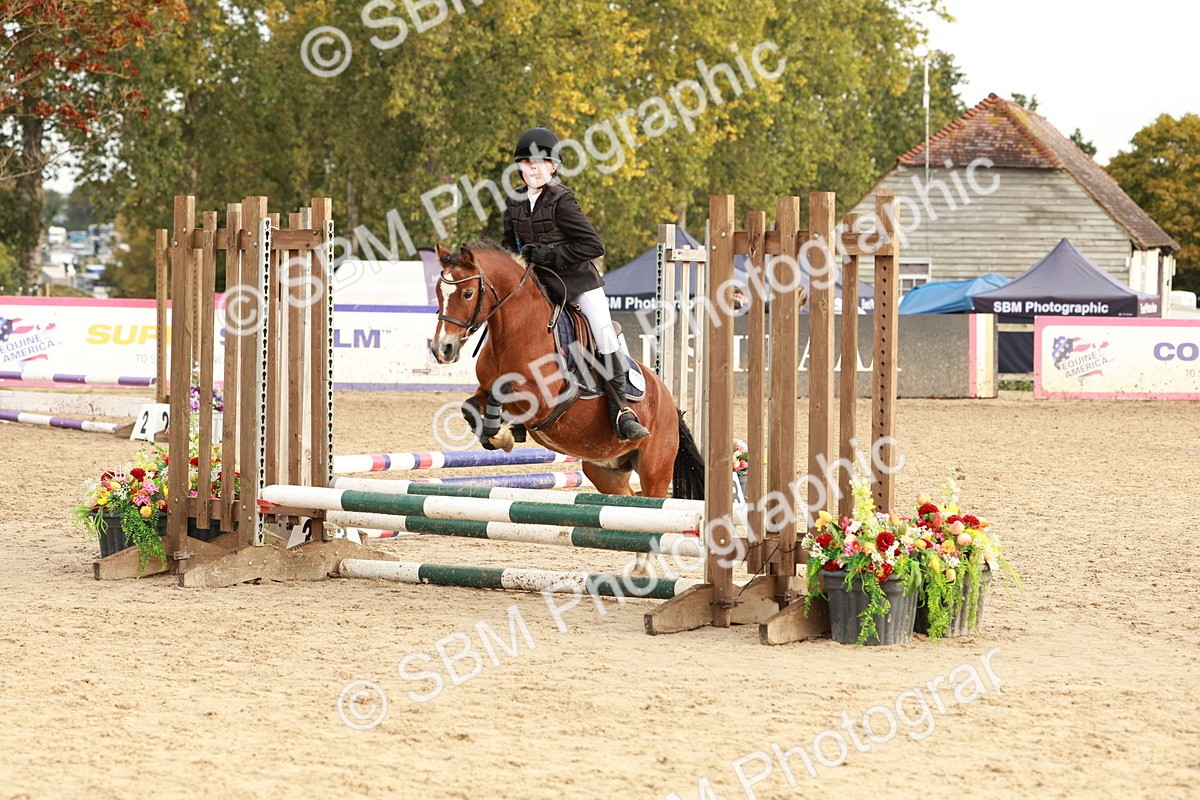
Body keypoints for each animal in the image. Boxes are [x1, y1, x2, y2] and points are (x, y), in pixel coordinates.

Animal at [430, 242, 704, 501]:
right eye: (438, 292)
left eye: (467, 293)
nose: (442, 349)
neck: (515, 331)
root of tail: (669, 403)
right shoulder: (484, 389)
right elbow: (470, 406)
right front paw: (498, 435)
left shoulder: (544, 400)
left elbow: (503, 389)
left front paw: (503, 436)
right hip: (607, 469)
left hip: (654, 470)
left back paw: (628, 424)